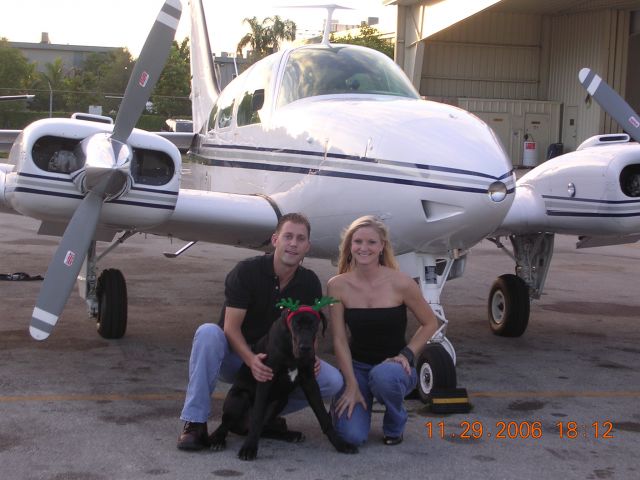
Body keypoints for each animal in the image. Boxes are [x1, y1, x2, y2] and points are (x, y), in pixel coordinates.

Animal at [211, 304, 358, 462]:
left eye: (313, 325)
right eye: (295, 325)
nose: (305, 348)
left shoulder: (310, 382)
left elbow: (323, 416)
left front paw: (341, 444)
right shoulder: (265, 378)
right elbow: (257, 417)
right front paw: (249, 448)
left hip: (280, 400)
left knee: (263, 428)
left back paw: (290, 434)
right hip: (239, 397)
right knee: (228, 423)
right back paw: (217, 439)